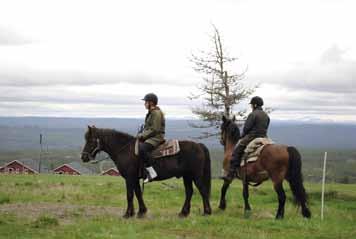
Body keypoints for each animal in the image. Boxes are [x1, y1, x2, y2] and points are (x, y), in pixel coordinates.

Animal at [80, 127, 211, 218]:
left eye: (91, 140)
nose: (83, 157)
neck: (125, 150)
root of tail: (199, 145)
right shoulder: (135, 178)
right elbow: (138, 193)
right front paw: (141, 212)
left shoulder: (129, 177)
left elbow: (130, 194)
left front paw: (128, 214)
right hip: (187, 176)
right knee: (189, 192)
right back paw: (183, 213)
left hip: (195, 176)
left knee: (202, 190)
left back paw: (207, 212)